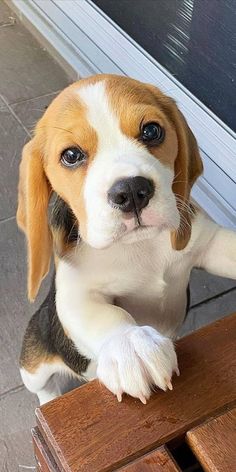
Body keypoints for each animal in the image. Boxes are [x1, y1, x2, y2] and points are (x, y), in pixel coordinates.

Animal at [17, 74, 236, 406]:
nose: (131, 191)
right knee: (44, 388)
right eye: (71, 156)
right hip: (33, 365)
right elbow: (107, 314)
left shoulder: (208, 244)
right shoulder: (75, 293)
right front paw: (131, 345)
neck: (140, 246)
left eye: (151, 131)